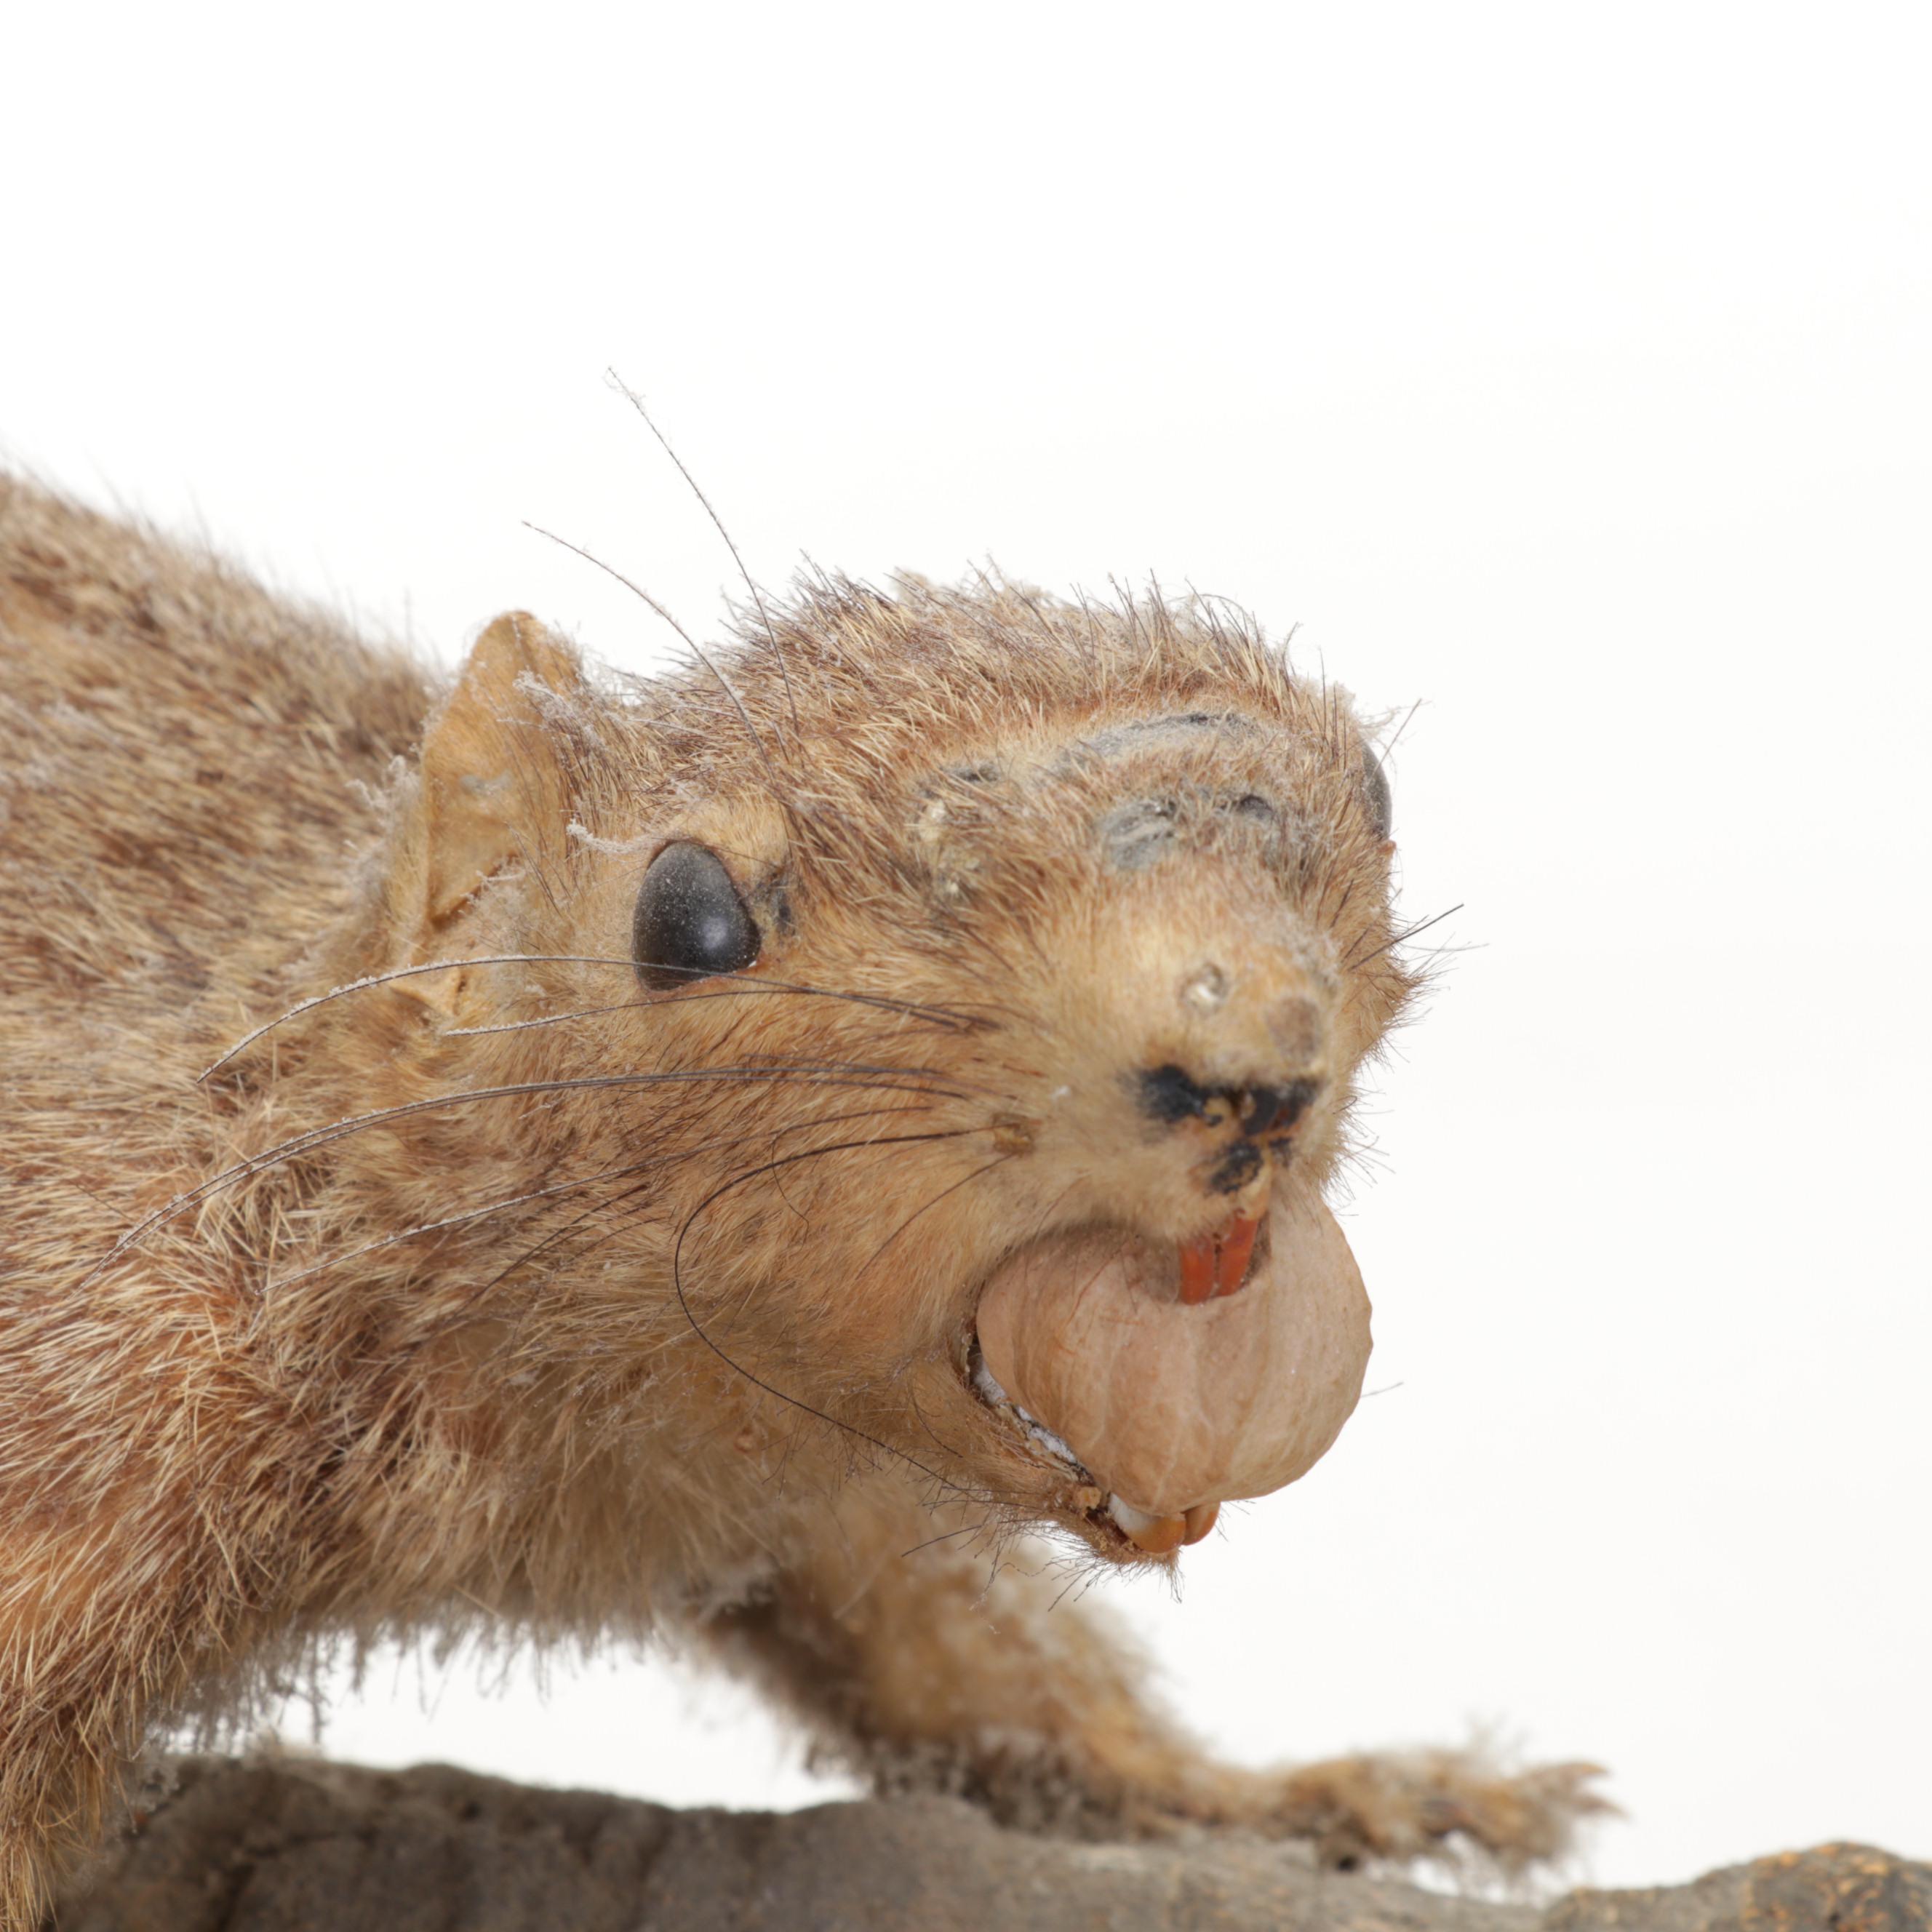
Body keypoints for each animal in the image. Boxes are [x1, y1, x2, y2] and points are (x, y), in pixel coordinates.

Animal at [0, 473, 1604, 1925]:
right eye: (686, 914)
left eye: (1375, 790)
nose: (1249, 1063)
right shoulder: (104, 1392)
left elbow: (962, 1656)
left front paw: (1331, 1793)